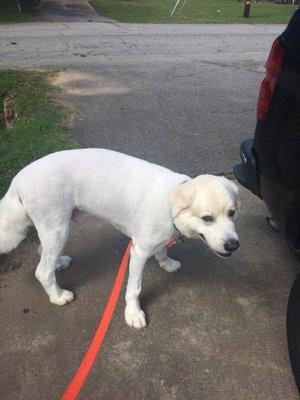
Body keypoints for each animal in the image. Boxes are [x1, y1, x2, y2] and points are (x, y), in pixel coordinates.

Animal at [0, 150, 240, 328]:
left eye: (232, 213)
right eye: (207, 218)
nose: (233, 245)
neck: (169, 204)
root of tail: (17, 178)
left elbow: (162, 250)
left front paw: (166, 263)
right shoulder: (139, 251)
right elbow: (134, 289)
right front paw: (133, 314)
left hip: (54, 229)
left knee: (43, 253)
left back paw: (59, 263)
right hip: (57, 229)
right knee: (43, 271)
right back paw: (58, 296)